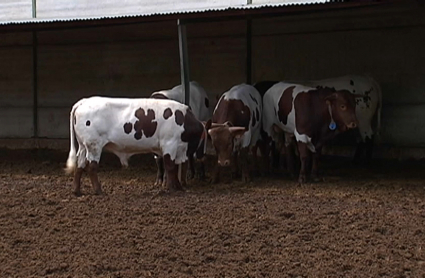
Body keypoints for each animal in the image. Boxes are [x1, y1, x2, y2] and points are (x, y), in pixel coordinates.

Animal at [64, 96, 207, 195]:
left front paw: (178, 187)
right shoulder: (169, 144)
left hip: (84, 146)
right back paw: (98, 190)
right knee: (92, 167)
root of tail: (84, 101)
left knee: (80, 165)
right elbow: (171, 167)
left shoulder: (177, 148)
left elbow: (174, 167)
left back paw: (77, 191)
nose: (202, 155)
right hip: (94, 145)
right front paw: (172, 188)